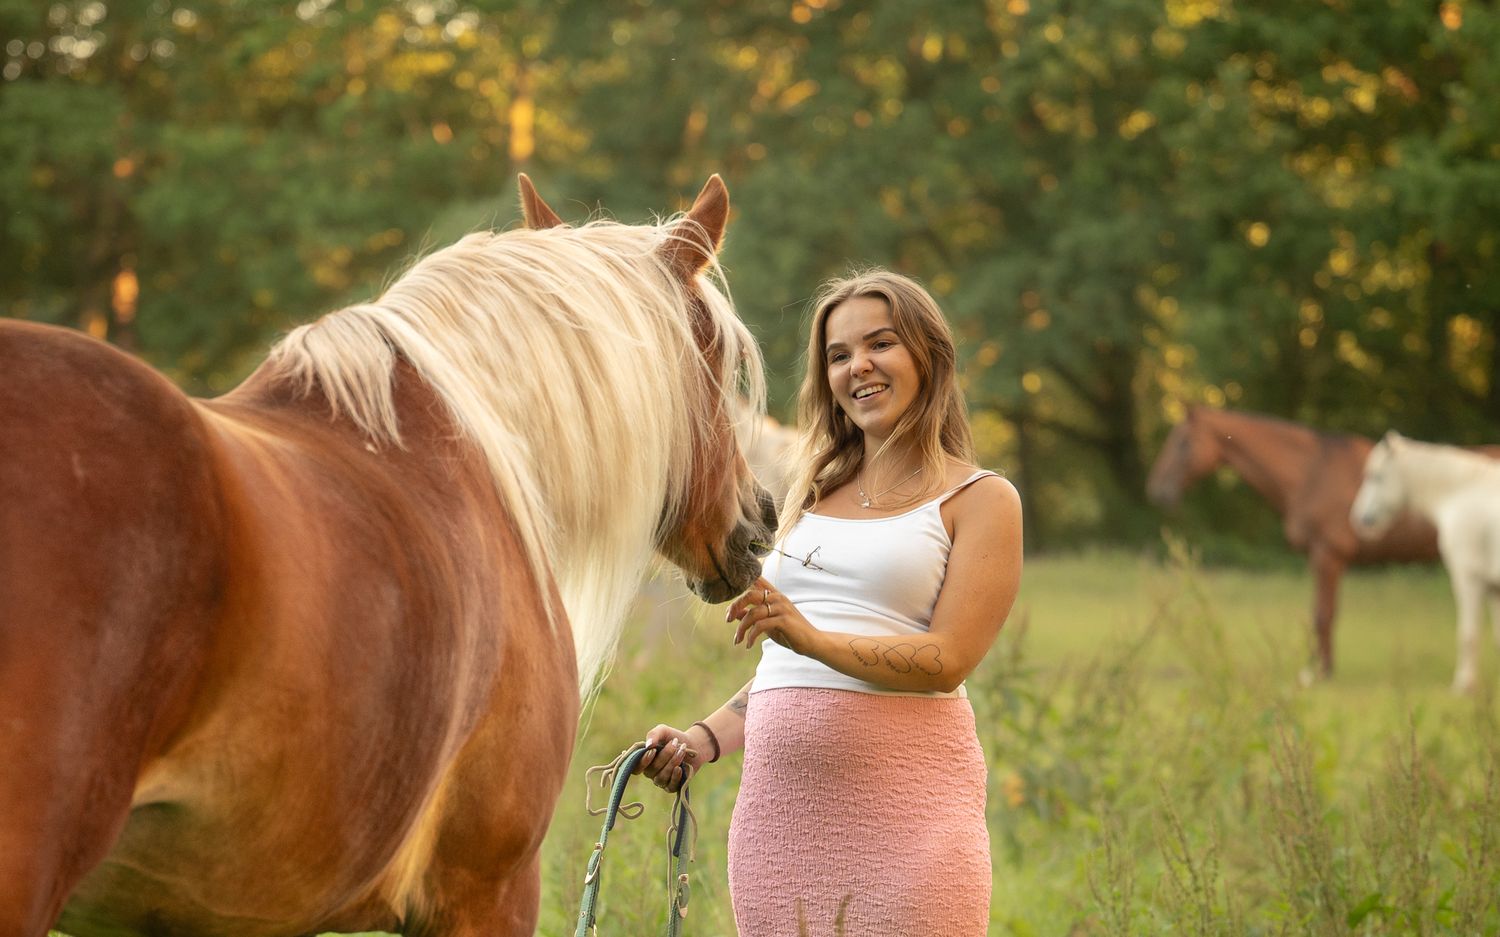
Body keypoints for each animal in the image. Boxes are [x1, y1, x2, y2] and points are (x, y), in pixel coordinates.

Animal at [1146, 405, 1470, 680]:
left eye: (1182, 443)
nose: (1156, 489)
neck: (1310, 474)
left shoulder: (1327, 554)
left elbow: (1323, 615)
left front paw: (1320, 671)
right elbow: (1322, 612)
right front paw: (1319, 667)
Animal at [1351, 431, 1500, 693]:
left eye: (1375, 476)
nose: (1359, 518)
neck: (1461, 493)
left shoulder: (1468, 578)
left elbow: (1468, 634)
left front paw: (1463, 685)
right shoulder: (1494, 588)